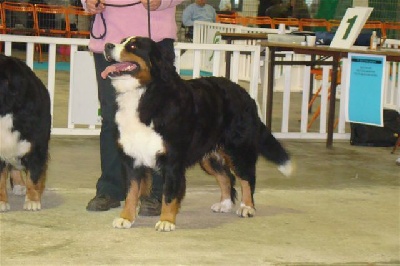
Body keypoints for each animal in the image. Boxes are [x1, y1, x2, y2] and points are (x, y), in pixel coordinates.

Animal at [101, 36, 292, 232]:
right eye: (122, 41)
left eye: (133, 46)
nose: (107, 45)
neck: (145, 93)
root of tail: (245, 94)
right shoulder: (132, 158)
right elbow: (131, 192)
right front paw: (126, 218)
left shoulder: (172, 161)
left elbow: (169, 194)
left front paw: (166, 221)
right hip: (209, 156)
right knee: (226, 177)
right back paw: (224, 204)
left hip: (238, 150)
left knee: (246, 178)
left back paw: (247, 207)